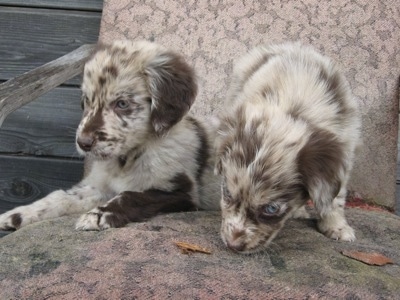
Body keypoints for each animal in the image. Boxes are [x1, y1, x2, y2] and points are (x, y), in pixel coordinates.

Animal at [0, 39, 219, 231]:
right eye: (87, 101)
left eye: (121, 104)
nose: (83, 143)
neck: (128, 158)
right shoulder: (100, 186)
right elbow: (61, 196)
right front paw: (17, 215)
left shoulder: (182, 193)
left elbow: (130, 196)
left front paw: (97, 215)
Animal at [216, 42, 362, 253]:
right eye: (227, 193)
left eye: (271, 209)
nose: (232, 245)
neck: (291, 107)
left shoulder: (345, 145)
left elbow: (335, 197)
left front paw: (337, 226)